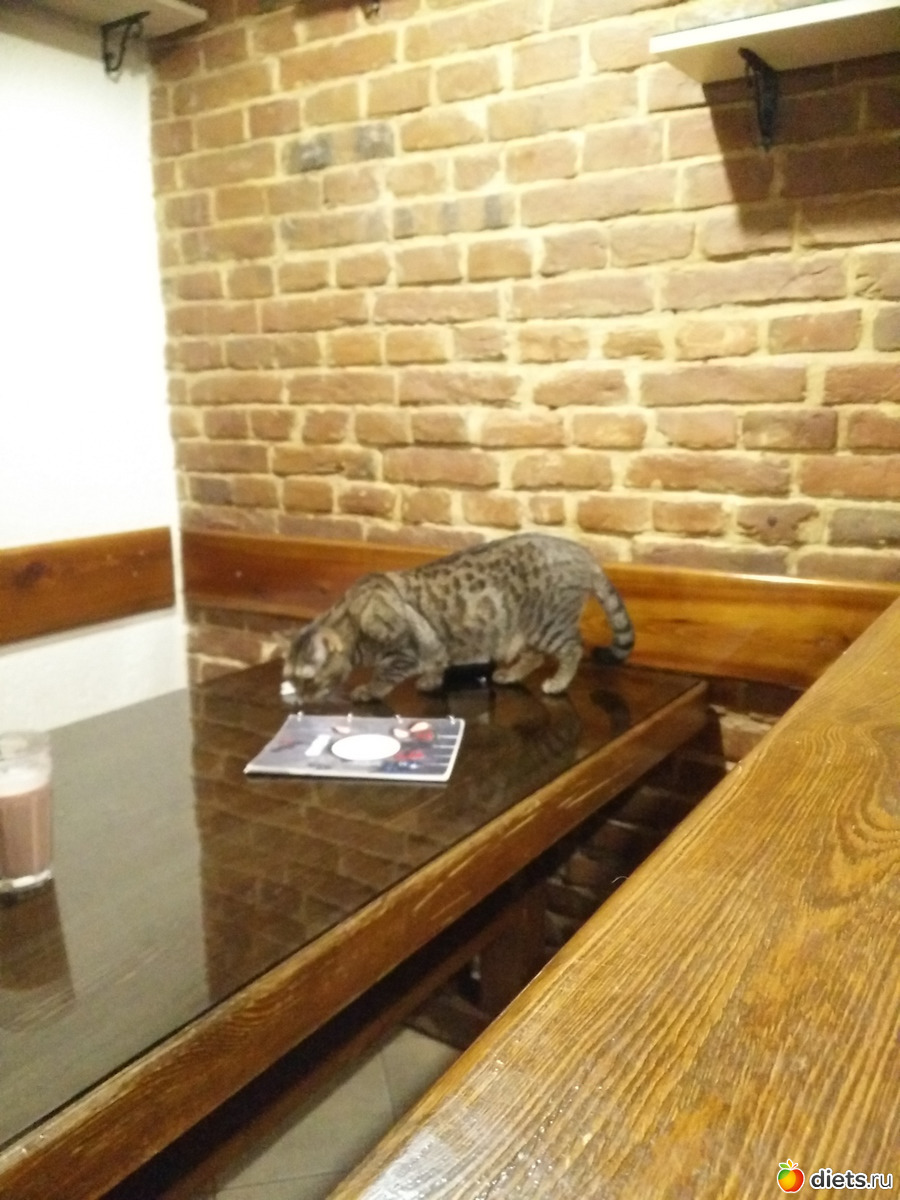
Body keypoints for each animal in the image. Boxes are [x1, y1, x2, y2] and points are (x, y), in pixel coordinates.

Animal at [282, 532, 635, 704]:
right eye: (290, 678)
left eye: (307, 678)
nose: (298, 699)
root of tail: (583, 551)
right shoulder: (433, 647)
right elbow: (436, 664)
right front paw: (431, 681)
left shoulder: (405, 647)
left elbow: (385, 675)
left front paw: (369, 690)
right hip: (525, 629)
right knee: (534, 656)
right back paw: (511, 674)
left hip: (548, 623)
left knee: (573, 647)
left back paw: (558, 682)